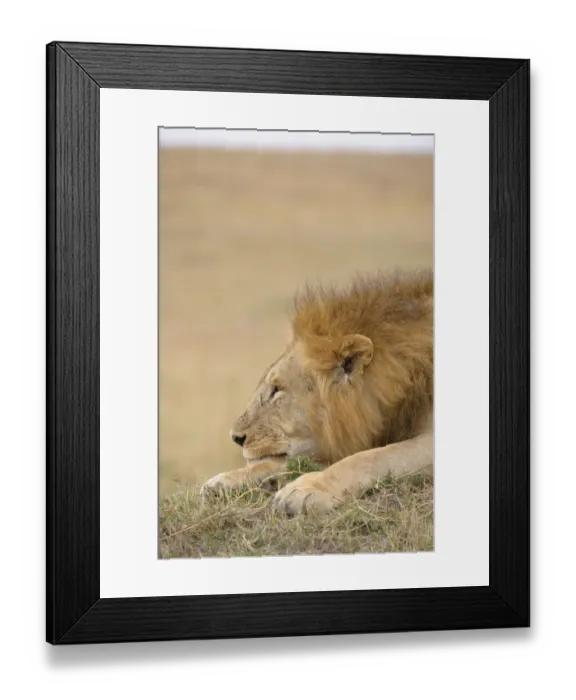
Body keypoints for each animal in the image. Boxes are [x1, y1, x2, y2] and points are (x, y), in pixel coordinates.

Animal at [201, 270, 434, 515]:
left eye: (277, 389)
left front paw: (305, 490)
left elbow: (370, 457)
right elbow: (283, 462)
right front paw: (227, 480)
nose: (236, 437)